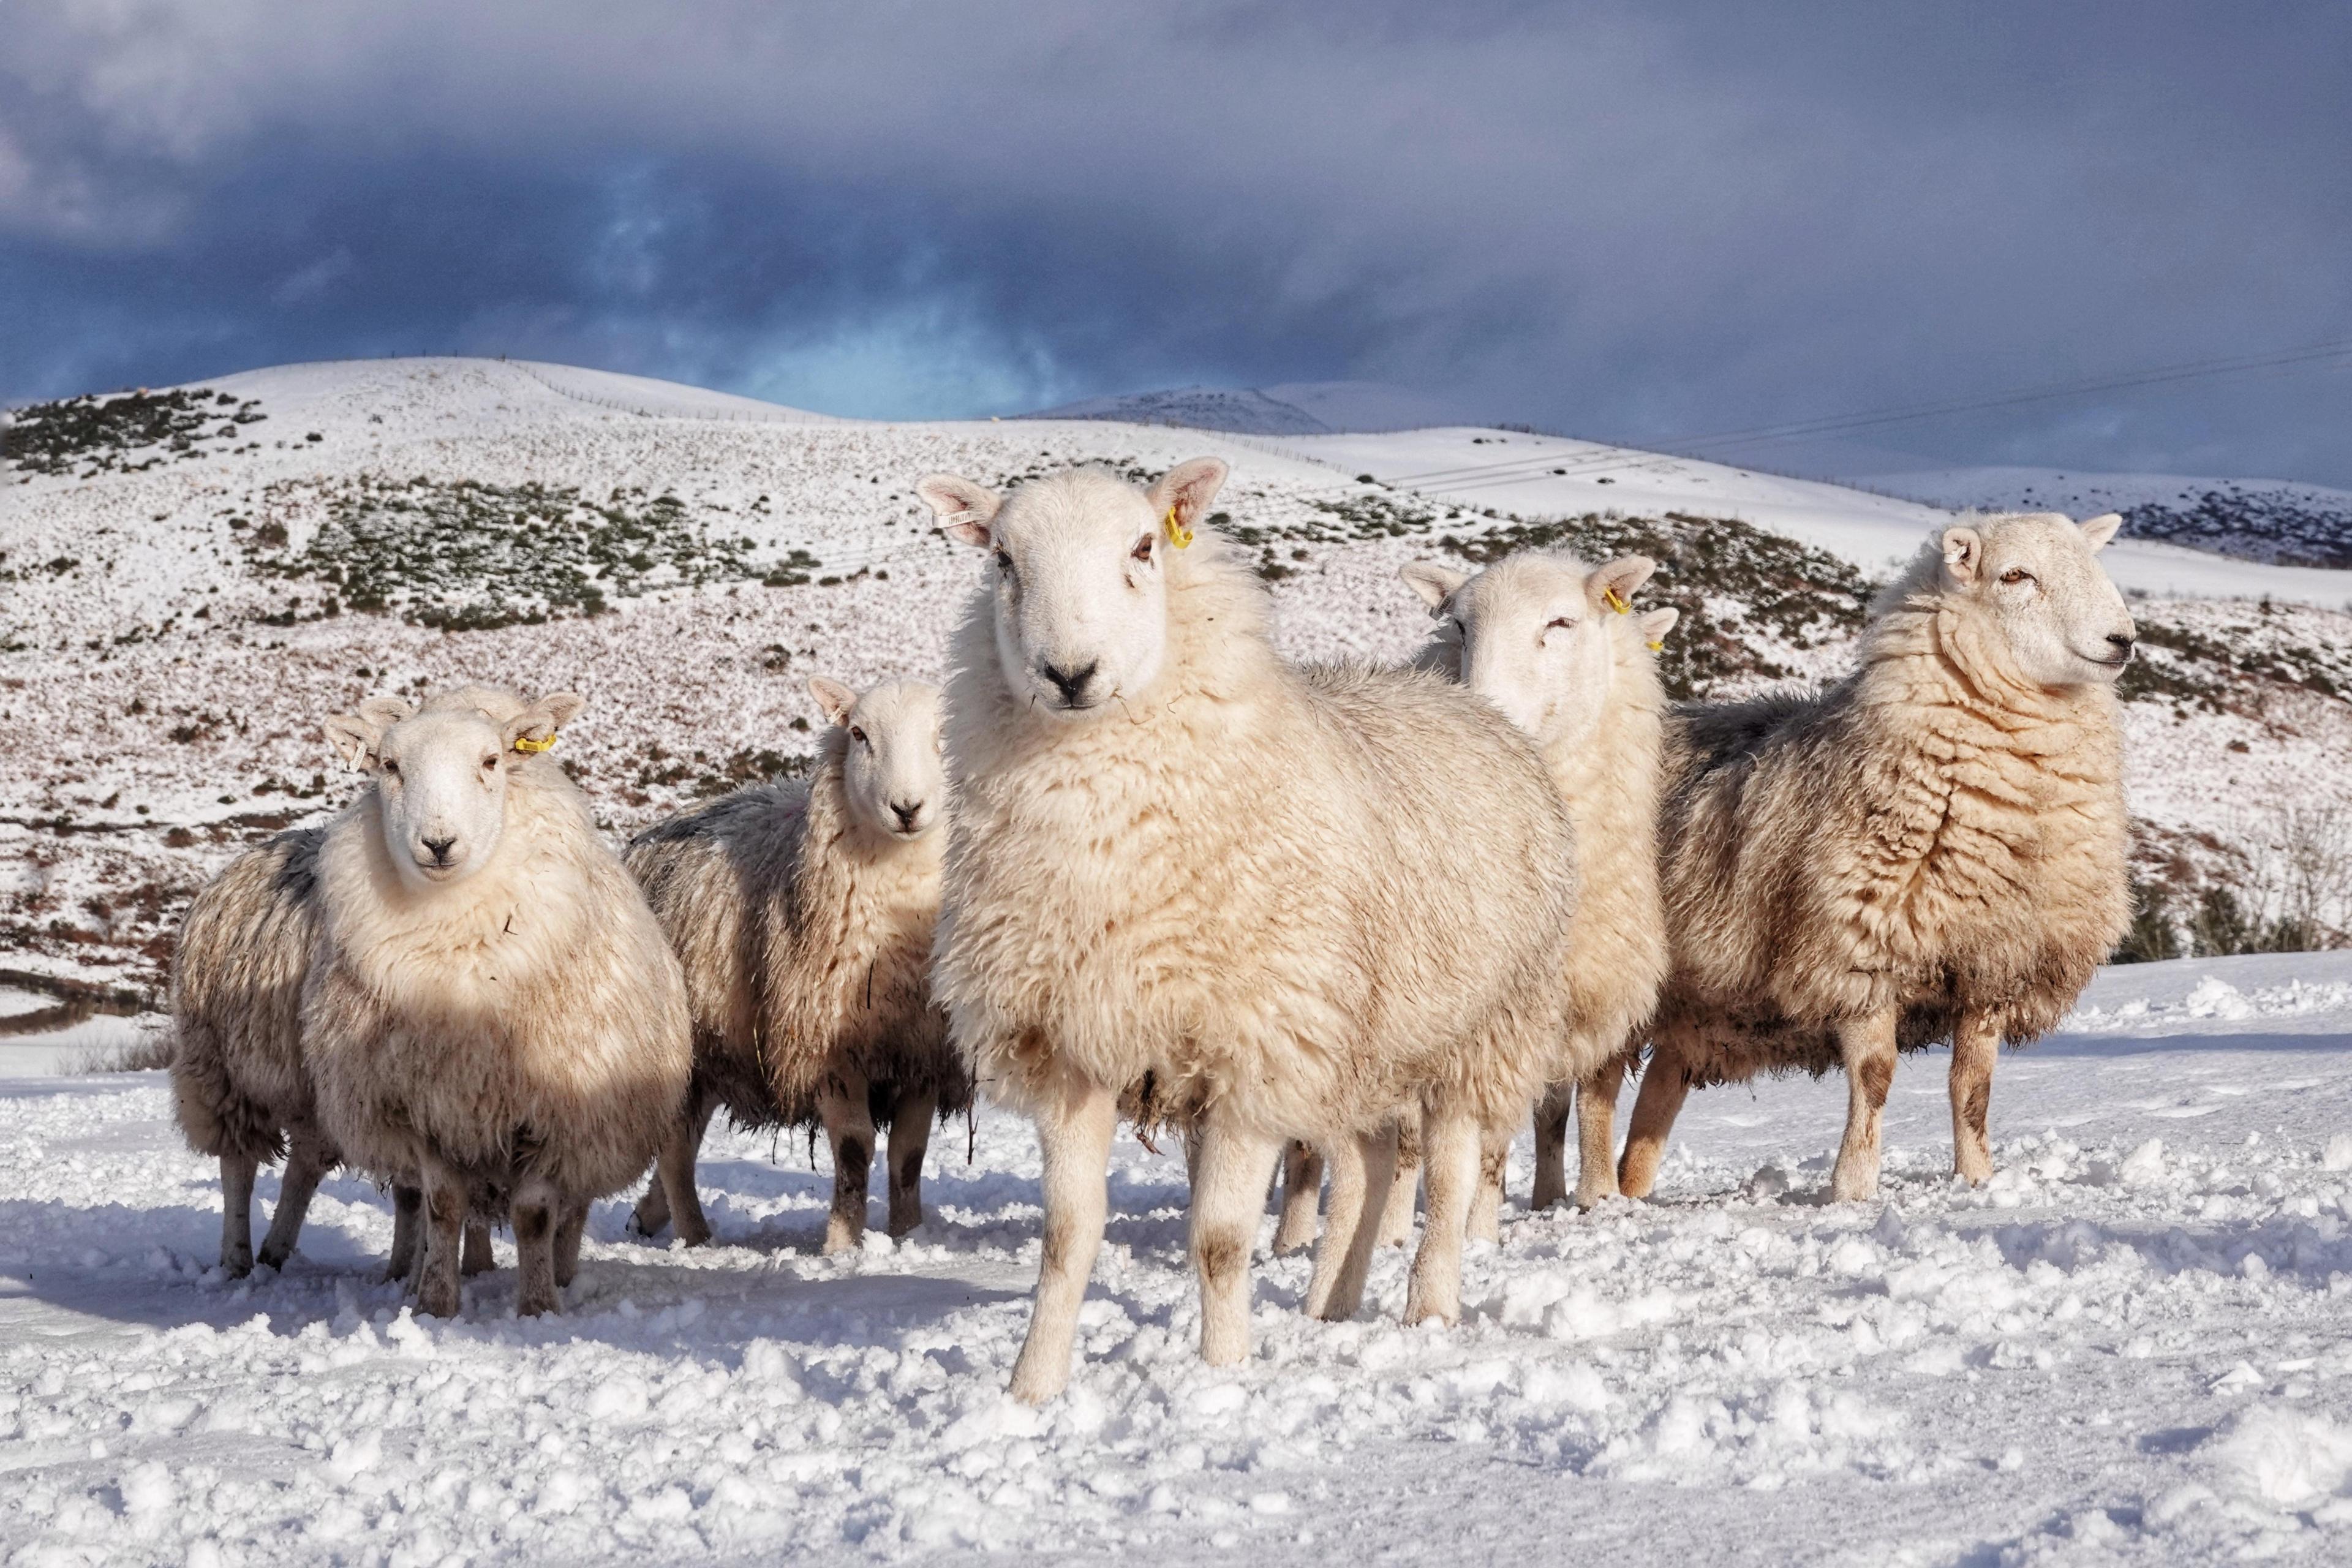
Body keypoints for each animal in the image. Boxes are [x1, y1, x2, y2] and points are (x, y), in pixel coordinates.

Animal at [303, 686, 687, 1316]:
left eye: (489, 761)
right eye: (390, 766)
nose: (438, 844)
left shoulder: (553, 1111)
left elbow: (534, 1215)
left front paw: (537, 1307)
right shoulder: (427, 1104)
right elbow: (443, 1208)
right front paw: (436, 1304)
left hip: (595, 1125)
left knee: (572, 1209)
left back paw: (563, 1275)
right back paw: (476, 1266)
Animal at [620, 672, 969, 1250]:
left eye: (947, 730)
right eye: (859, 734)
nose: (907, 807)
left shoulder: (922, 1048)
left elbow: (908, 1158)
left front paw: (907, 1236)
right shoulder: (827, 1044)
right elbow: (855, 1150)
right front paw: (843, 1246)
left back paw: (650, 1216)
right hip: (680, 1048)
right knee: (676, 1150)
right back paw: (695, 1236)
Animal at [917, 461, 1580, 1401]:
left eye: (1144, 546)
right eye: (1002, 558)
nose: (1069, 671)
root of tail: (1471, 706)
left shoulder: (1254, 1051)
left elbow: (1221, 1243)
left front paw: (1221, 1374)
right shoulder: (1074, 1048)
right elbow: (1066, 1239)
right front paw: (1030, 1389)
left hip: (1480, 1026)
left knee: (1449, 1178)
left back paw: (1428, 1309)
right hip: (1362, 1044)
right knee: (1373, 1164)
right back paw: (1332, 1302)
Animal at [1608, 514, 2145, 1204]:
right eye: (2014, 575)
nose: (2121, 640)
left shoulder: (1992, 965)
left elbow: (1973, 1088)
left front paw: (1978, 1180)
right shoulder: (1859, 956)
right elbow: (1876, 1077)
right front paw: (1853, 1188)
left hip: (1694, 1014)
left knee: (1652, 1109)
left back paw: (1628, 1192)